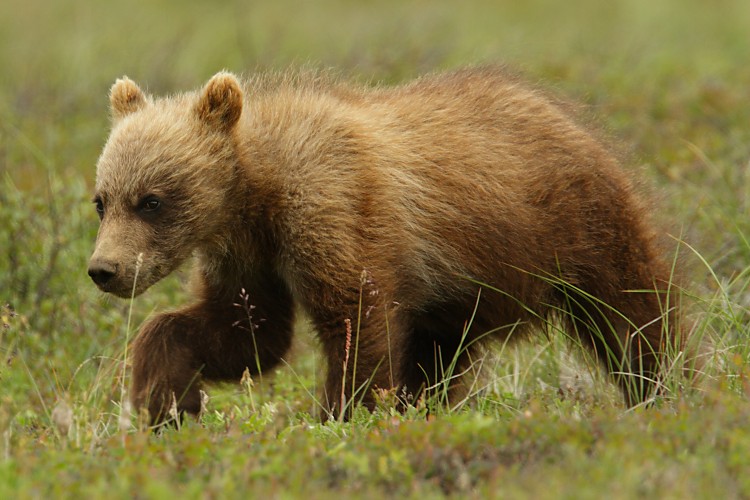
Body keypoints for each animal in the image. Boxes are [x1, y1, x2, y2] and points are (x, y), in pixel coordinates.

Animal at [88, 67, 685, 425]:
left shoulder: (336, 209)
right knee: (437, 356)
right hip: (455, 294)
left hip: (576, 228)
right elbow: (247, 334)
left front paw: (342, 416)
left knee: (632, 315)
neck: (259, 193)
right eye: (102, 200)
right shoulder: (247, 256)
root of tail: (567, 114)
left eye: (152, 200)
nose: (104, 269)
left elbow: (356, 319)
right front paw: (163, 399)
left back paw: (662, 389)